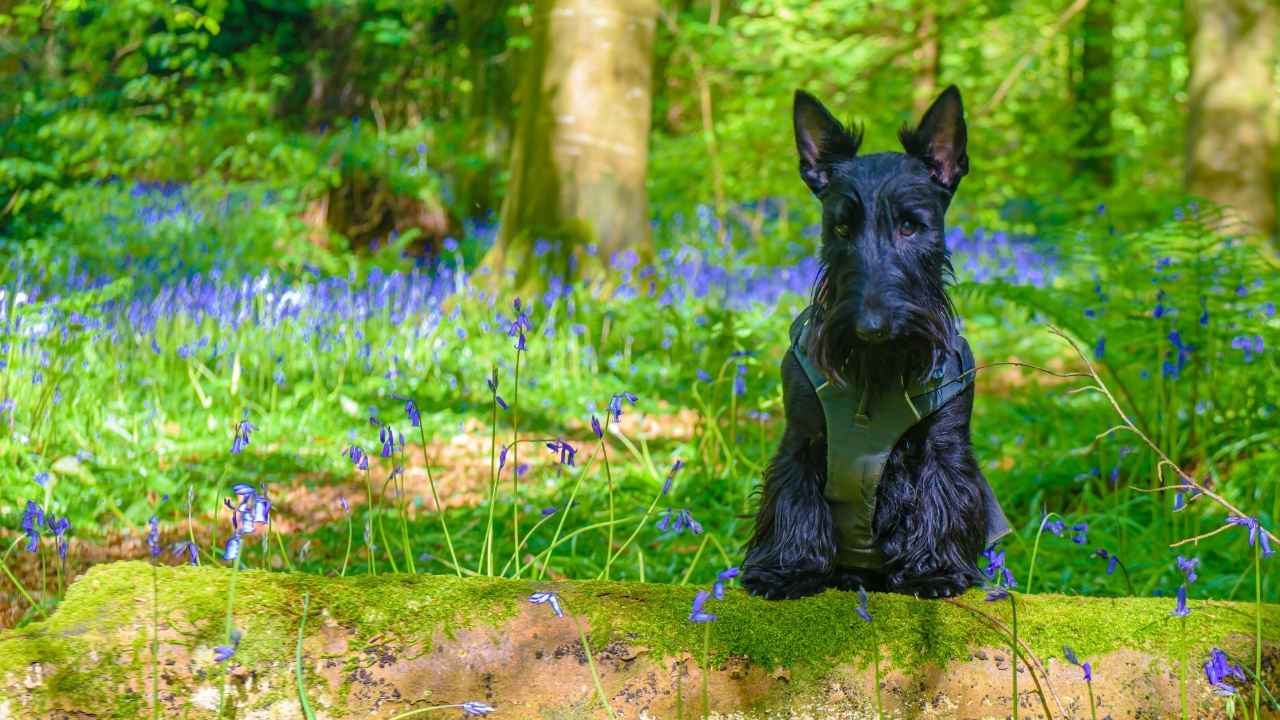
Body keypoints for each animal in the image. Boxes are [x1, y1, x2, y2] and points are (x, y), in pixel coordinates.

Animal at [742, 87, 1008, 597]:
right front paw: (787, 569)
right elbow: (795, 500)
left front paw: (934, 569)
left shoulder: (944, 444)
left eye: (909, 226)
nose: (871, 326)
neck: (877, 368)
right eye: (841, 229)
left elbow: (939, 499)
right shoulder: (802, 438)